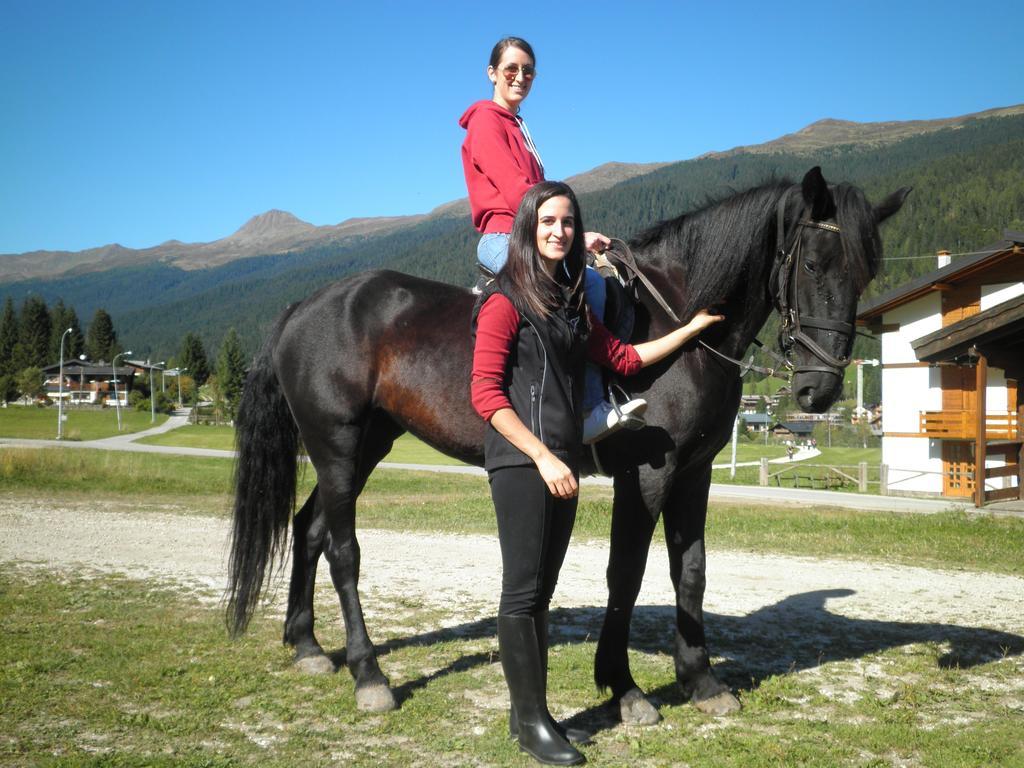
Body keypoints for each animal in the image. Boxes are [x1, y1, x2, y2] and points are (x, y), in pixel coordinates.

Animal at [228, 166, 909, 720]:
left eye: (866, 272)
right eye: (814, 264)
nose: (820, 390)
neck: (678, 328)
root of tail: (303, 306)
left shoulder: (695, 473)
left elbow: (690, 572)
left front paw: (701, 681)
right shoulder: (649, 474)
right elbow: (626, 574)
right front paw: (624, 687)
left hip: (366, 445)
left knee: (309, 528)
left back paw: (308, 646)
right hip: (337, 445)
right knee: (342, 549)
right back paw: (369, 675)